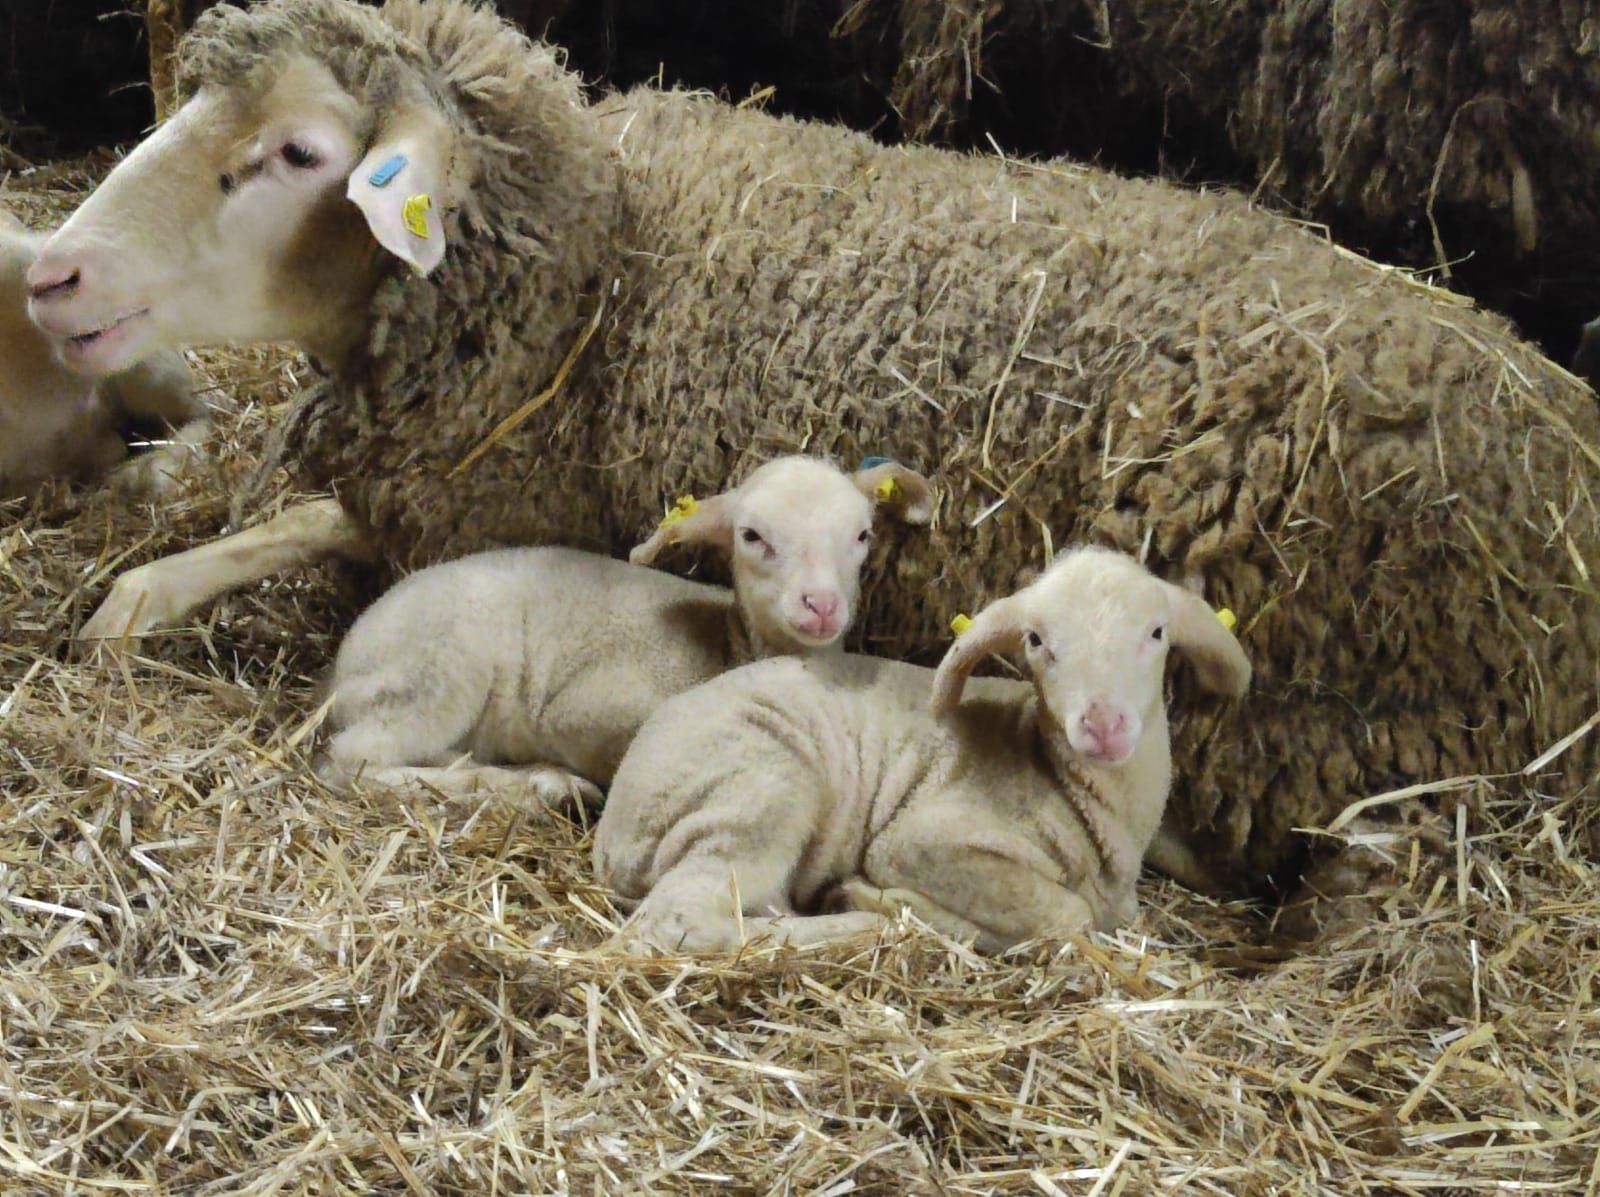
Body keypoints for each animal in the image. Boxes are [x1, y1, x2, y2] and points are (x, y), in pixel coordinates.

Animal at [316, 454, 934, 809]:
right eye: (751, 536)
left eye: (861, 535)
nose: (822, 606)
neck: (730, 648)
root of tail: (343, 662)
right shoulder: (586, 710)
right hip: (437, 671)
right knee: (352, 761)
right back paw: (522, 787)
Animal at [595, 544, 1254, 953]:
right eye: (1036, 641)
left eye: (1157, 632)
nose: (1103, 724)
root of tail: (613, 835)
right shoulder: (925, 840)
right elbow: (1070, 916)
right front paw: (887, 899)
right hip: (757, 789)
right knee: (680, 919)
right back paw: (859, 919)